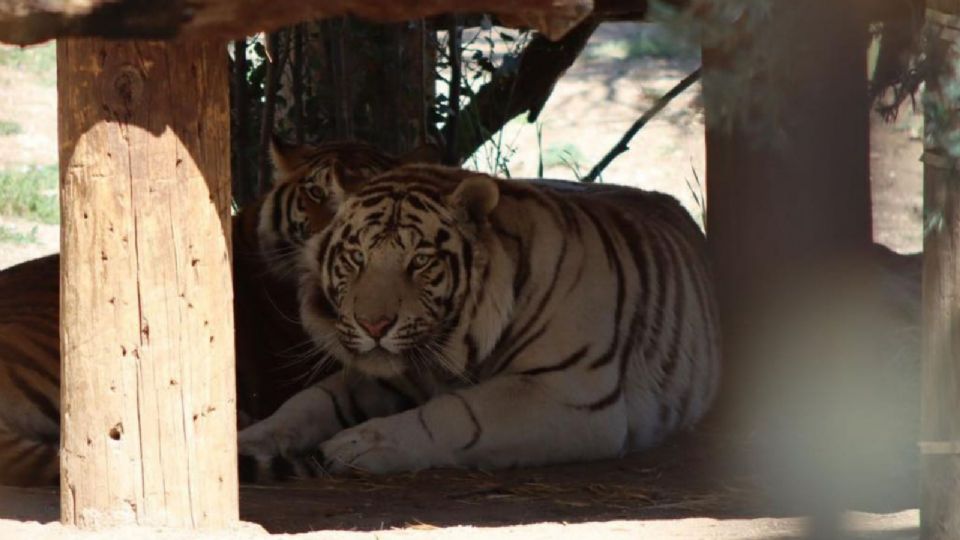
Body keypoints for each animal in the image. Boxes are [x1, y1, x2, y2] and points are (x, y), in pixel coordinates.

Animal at [236, 163, 724, 476]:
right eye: (356, 258)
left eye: (420, 261)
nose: (373, 325)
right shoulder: (391, 375)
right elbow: (308, 402)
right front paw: (242, 440)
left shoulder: (570, 394)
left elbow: (458, 413)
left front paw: (357, 444)